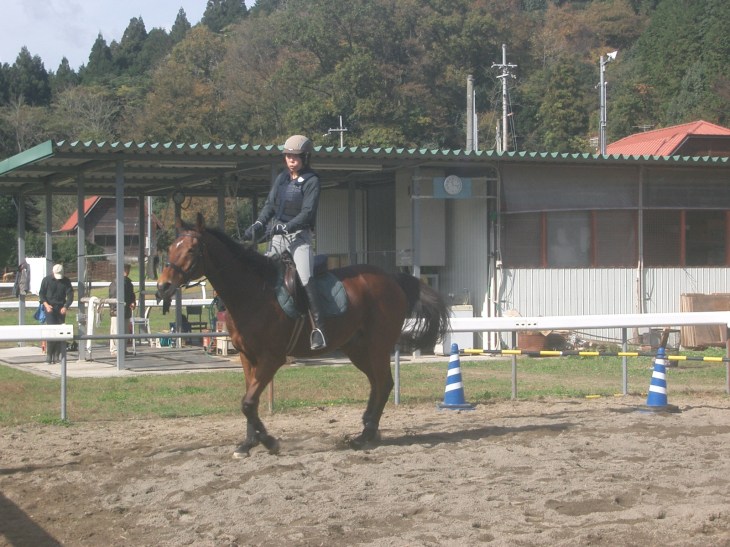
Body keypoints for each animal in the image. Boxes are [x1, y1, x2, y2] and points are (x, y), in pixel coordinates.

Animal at [156, 214, 450, 457]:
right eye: (170, 249)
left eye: (191, 249)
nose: (162, 288)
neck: (253, 293)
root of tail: (392, 278)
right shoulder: (247, 357)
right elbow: (250, 401)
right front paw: (249, 443)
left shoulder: (271, 358)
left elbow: (248, 402)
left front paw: (269, 442)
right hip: (357, 349)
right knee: (377, 383)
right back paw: (368, 428)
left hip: (377, 346)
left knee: (385, 383)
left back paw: (365, 435)